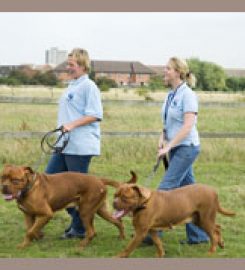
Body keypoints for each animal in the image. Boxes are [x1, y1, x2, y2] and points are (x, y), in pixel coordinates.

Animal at [103, 173, 235, 258]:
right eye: (115, 195)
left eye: (125, 197)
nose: (114, 202)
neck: (144, 202)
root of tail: (213, 191)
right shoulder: (151, 230)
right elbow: (158, 243)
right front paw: (160, 254)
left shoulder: (140, 232)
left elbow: (128, 248)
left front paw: (118, 256)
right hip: (198, 219)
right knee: (217, 228)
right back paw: (221, 243)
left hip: (205, 219)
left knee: (213, 235)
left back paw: (211, 251)